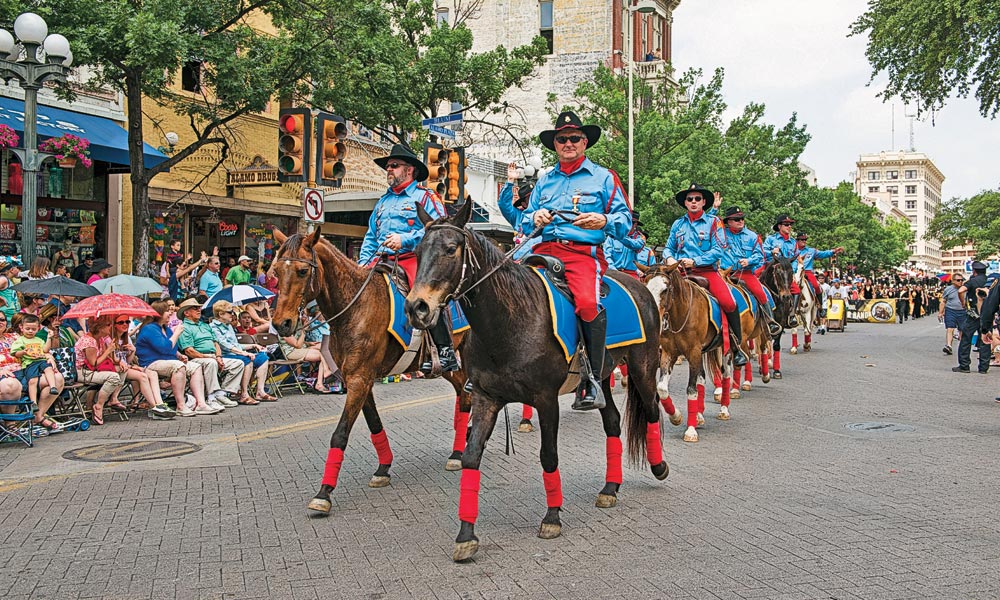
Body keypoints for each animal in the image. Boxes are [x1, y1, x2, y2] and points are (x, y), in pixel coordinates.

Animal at [270, 227, 472, 512]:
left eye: (301, 271)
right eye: (276, 271)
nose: (281, 324)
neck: (354, 308)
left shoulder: (360, 379)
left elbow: (340, 434)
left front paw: (324, 493)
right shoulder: (357, 379)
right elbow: (374, 423)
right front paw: (383, 469)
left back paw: (459, 452)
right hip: (446, 367)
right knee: (463, 392)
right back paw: (459, 447)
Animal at [402, 202, 668, 564]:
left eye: (450, 249)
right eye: (417, 251)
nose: (417, 307)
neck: (511, 321)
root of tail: (639, 285)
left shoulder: (546, 400)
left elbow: (548, 455)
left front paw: (552, 517)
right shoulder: (486, 398)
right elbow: (471, 457)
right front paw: (466, 535)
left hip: (642, 367)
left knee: (652, 410)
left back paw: (659, 466)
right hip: (601, 377)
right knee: (613, 421)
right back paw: (610, 488)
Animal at [640, 264, 728, 442]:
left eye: (666, 289)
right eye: (646, 285)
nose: (653, 318)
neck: (679, 315)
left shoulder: (693, 352)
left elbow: (692, 390)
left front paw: (690, 430)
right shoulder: (668, 353)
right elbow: (662, 388)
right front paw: (676, 417)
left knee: (726, 374)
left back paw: (724, 409)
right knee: (701, 378)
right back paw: (699, 415)